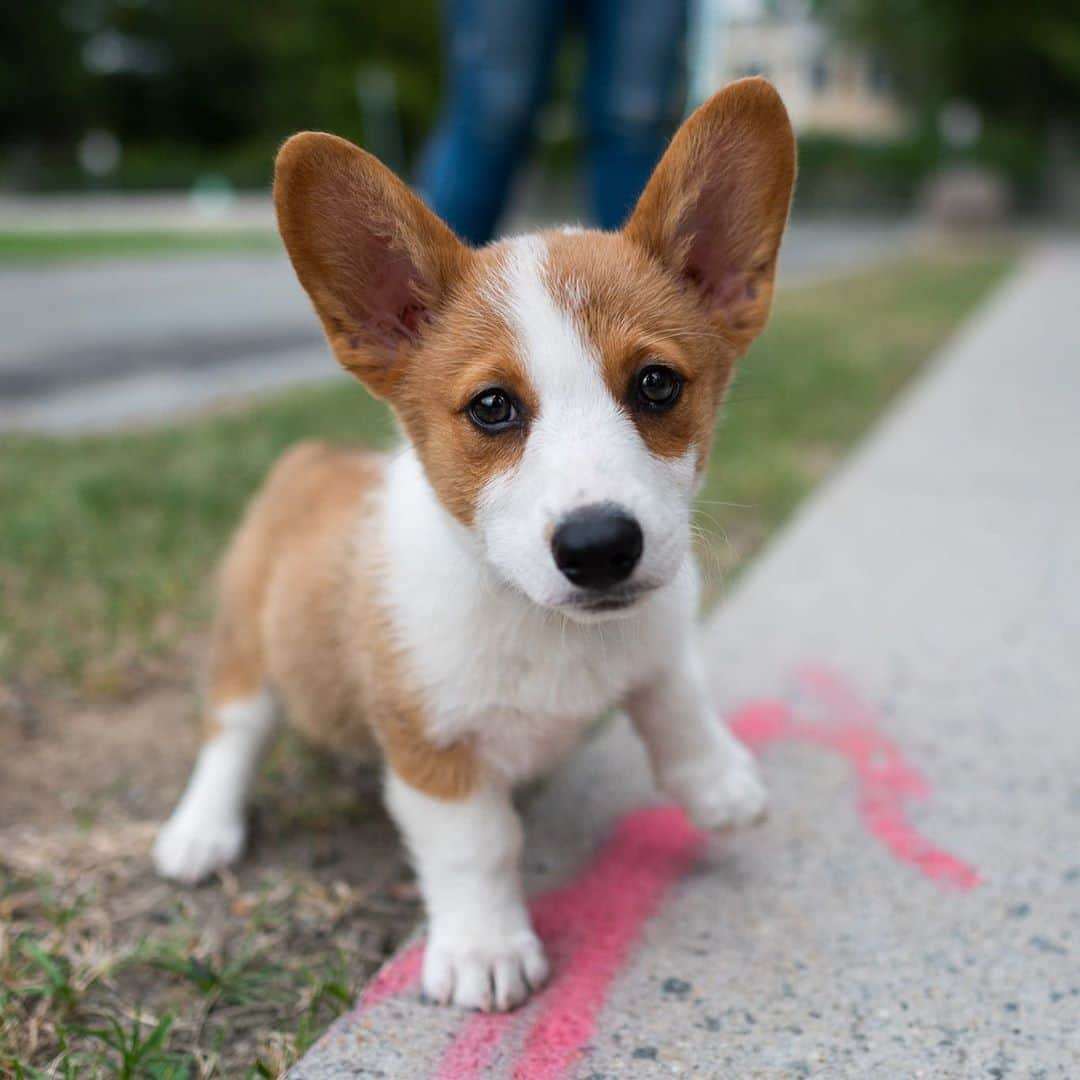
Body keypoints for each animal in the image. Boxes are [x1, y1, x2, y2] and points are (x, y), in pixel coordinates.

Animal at [154, 78, 794, 1010]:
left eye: (656, 384)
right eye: (493, 407)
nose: (600, 548)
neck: (547, 624)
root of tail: (313, 456)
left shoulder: (659, 634)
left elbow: (675, 696)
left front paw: (718, 784)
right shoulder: (433, 751)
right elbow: (478, 847)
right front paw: (486, 950)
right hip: (249, 647)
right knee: (229, 732)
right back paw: (200, 831)